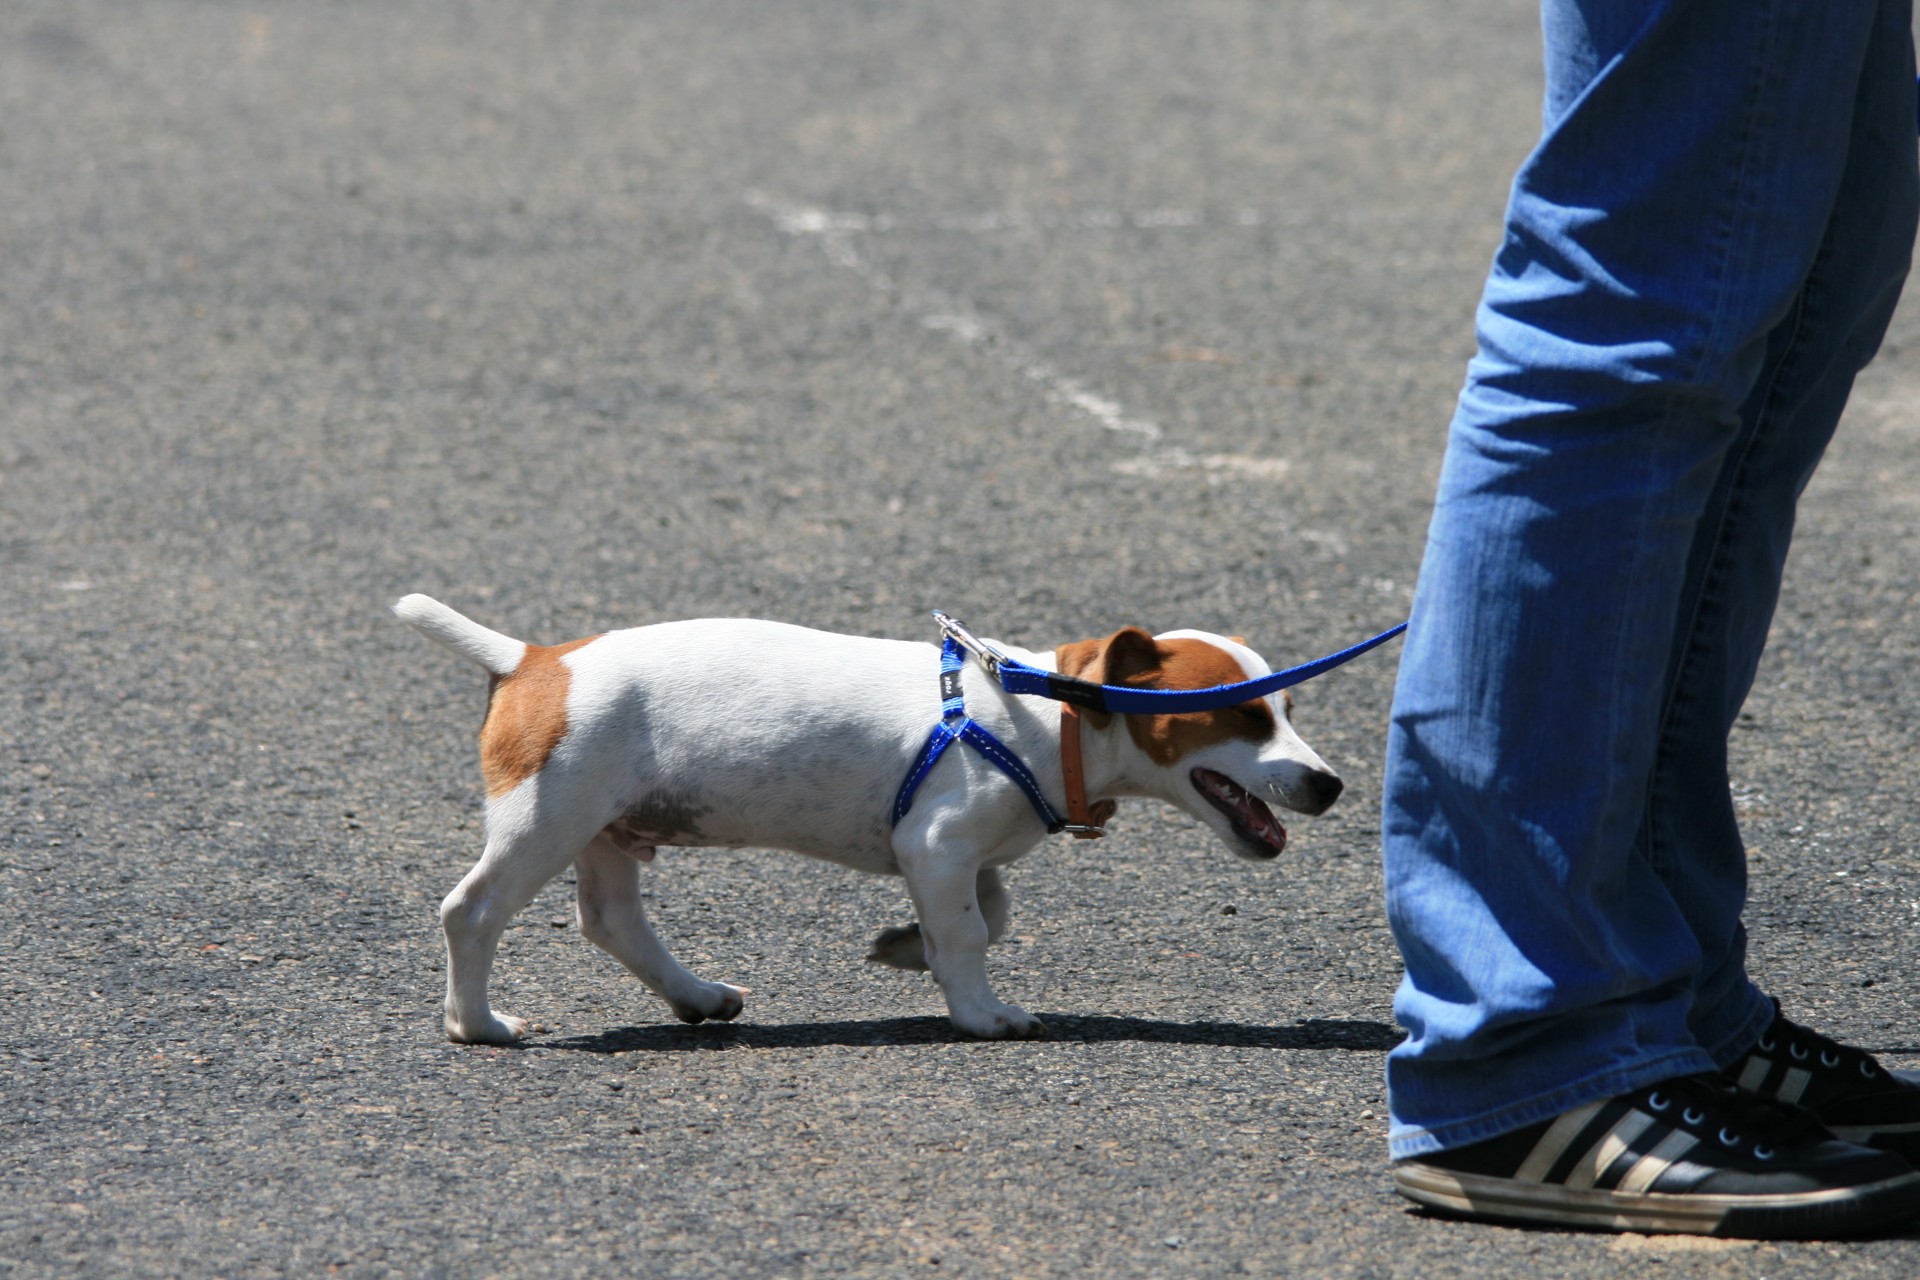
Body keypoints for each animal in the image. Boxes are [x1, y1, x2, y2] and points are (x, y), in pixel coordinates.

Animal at [395, 594, 1344, 1043]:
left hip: (606, 830)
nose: (1330, 785)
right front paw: (980, 1012)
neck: (1056, 719)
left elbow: (989, 913)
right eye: (1245, 716)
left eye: (1289, 709)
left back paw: (696, 995)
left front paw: (904, 947)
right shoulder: (939, 840)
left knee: (611, 920)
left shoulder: (958, 856)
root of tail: (533, 661)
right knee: (471, 912)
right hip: (548, 819)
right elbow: (970, 934)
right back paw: (479, 1025)